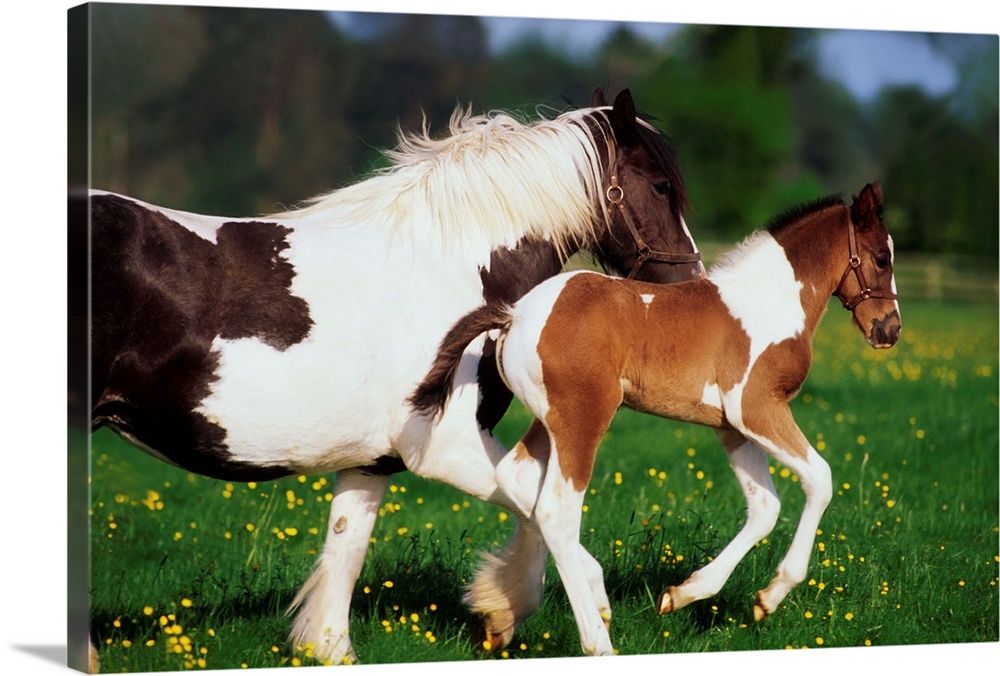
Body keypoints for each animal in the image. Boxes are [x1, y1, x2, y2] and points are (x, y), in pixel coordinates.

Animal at [88, 88, 704, 666]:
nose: (691, 289)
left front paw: (333, 647)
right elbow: (536, 503)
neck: (448, 269)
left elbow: (346, 550)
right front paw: (517, 607)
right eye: (660, 187)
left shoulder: (372, 460)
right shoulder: (445, 446)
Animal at [411, 182, 901, 655]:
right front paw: (773, 594)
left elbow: (764, 507)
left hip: (549, 420)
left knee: (515, 478)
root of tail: (514, 315)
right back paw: (597, 641)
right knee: (555, 511)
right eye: (881, 257)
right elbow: (820, 479)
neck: (768, 302)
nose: (890, 330)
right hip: (583, 419)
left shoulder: (731, 426)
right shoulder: (758, 407)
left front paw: (685, 594)